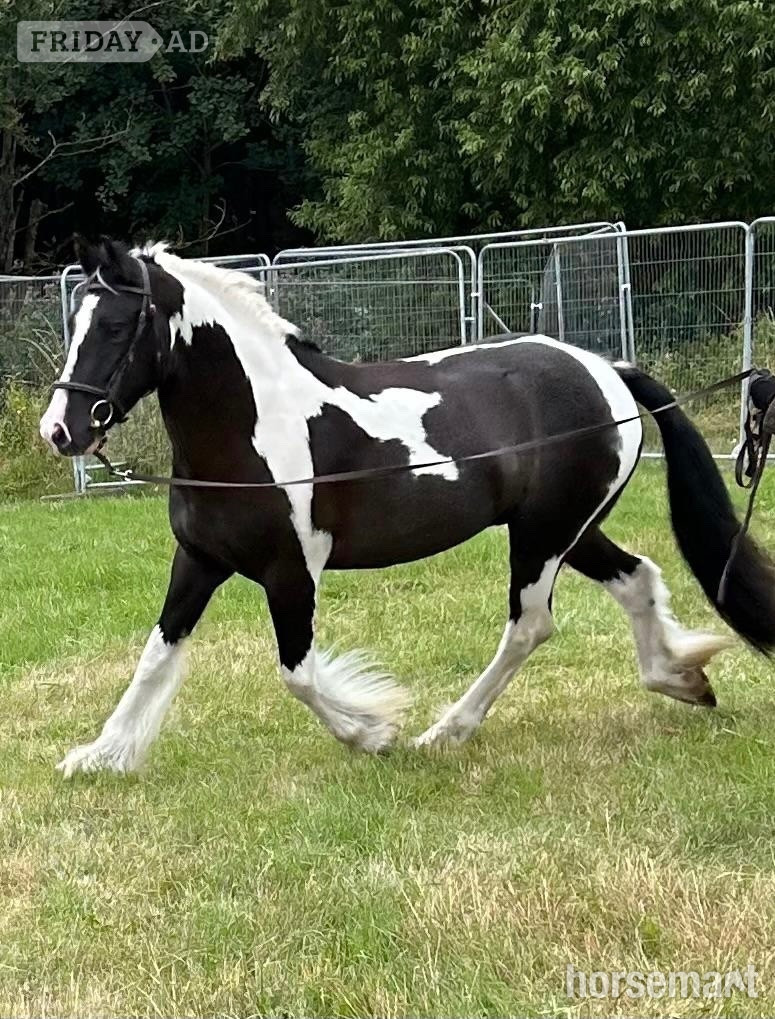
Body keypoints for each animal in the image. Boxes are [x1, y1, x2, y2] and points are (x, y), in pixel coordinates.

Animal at [40, 238, 775, 777]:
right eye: (77, 323)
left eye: (114, 325)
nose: (60, 431)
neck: (254, 429)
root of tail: (605, 371)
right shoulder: (198, 560)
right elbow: (156, 656)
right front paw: (100, 755)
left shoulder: (291, 572)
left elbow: (297, 674)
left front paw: (374, 730)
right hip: (567, 528)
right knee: (638, 578)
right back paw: (683, 678)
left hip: (543, 536)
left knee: (529, 626)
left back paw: (444, 731)